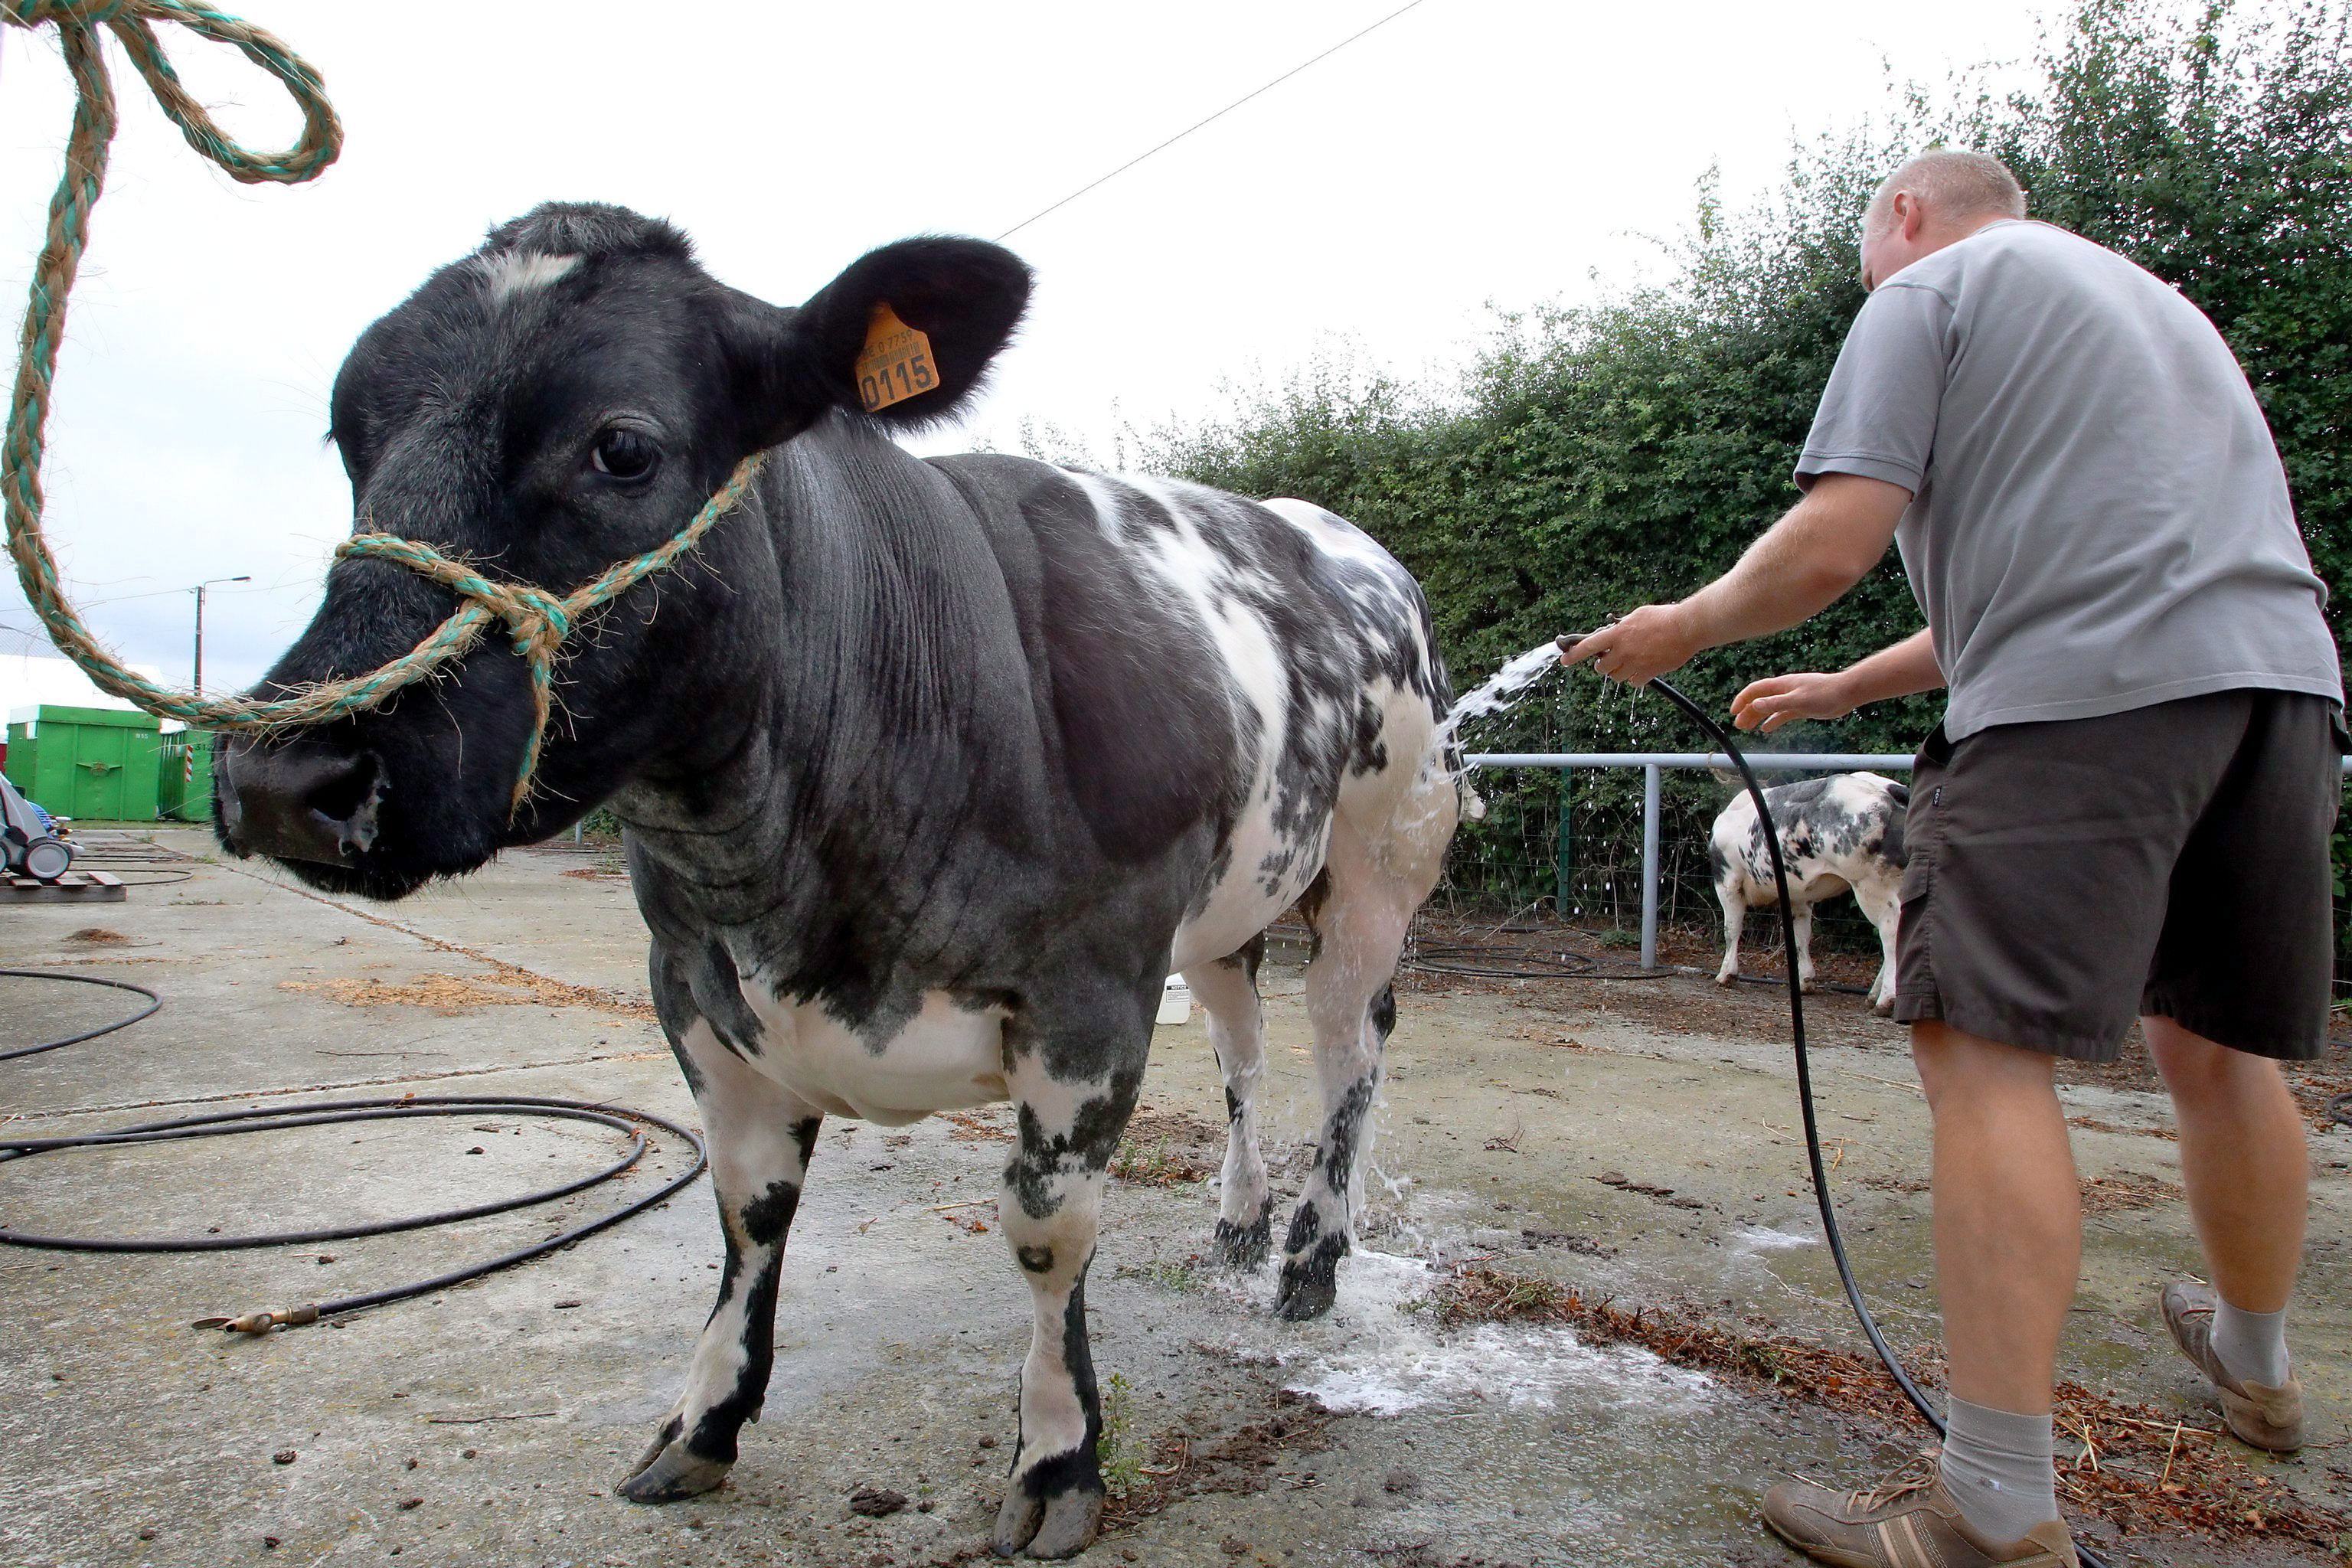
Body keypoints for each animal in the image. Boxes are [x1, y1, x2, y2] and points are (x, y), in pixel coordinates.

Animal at [211, 205, 1458, 1560]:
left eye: (621, 446)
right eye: (350, 432)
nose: (284, 772)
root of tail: (1339, 538)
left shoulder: (1091, 994)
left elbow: (1046, 1233)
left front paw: (1059, 1460)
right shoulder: (693, 990)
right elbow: (748, 1212)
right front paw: (703, 1424)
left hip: (1384, 863)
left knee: (1348, 1048)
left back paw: (1311, 1261)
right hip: (1231, 907)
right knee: (1242, 1046)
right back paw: (1238, 1223)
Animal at [1712, 766, 1909, 1011]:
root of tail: (1889, 788)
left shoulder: (1727, 879)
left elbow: (1731, 929)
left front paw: (1726, 974)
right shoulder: (1798, 893)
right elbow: (1801, 934)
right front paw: (1805, 980)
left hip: (1872, 885)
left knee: (1890, 933)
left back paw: (1886, 1000)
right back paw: (1874, 995)